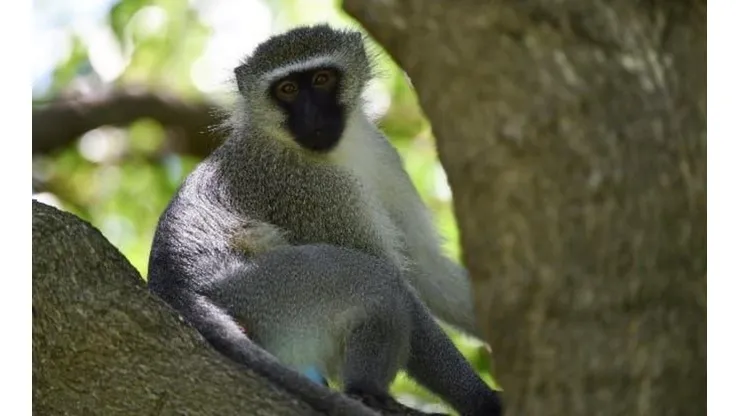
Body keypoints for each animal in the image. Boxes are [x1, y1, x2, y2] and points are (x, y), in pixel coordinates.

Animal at [147, 24, 502, 416]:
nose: (313, 117)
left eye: (322, 79)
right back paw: (365, 391)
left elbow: (427, 266)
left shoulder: (382, 154)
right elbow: (401, 284)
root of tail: (175, 288)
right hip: (266, 288)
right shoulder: (314, 191)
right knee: (378, 282)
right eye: (287, 89)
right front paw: (482, 400)